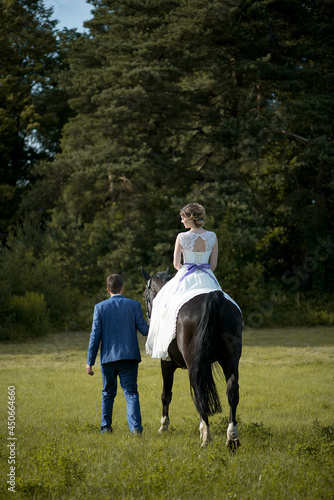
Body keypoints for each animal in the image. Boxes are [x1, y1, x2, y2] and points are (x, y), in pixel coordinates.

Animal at [141, 268, 243, 448]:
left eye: (146, 294)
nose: (149, 317)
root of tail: (214, 298)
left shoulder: (166, 363)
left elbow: (166, 394)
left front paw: (164, 426)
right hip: (230, 361)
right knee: (232, 390)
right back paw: (231, 437)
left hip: (194, 365)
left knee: (199, 391)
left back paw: (206, 436)